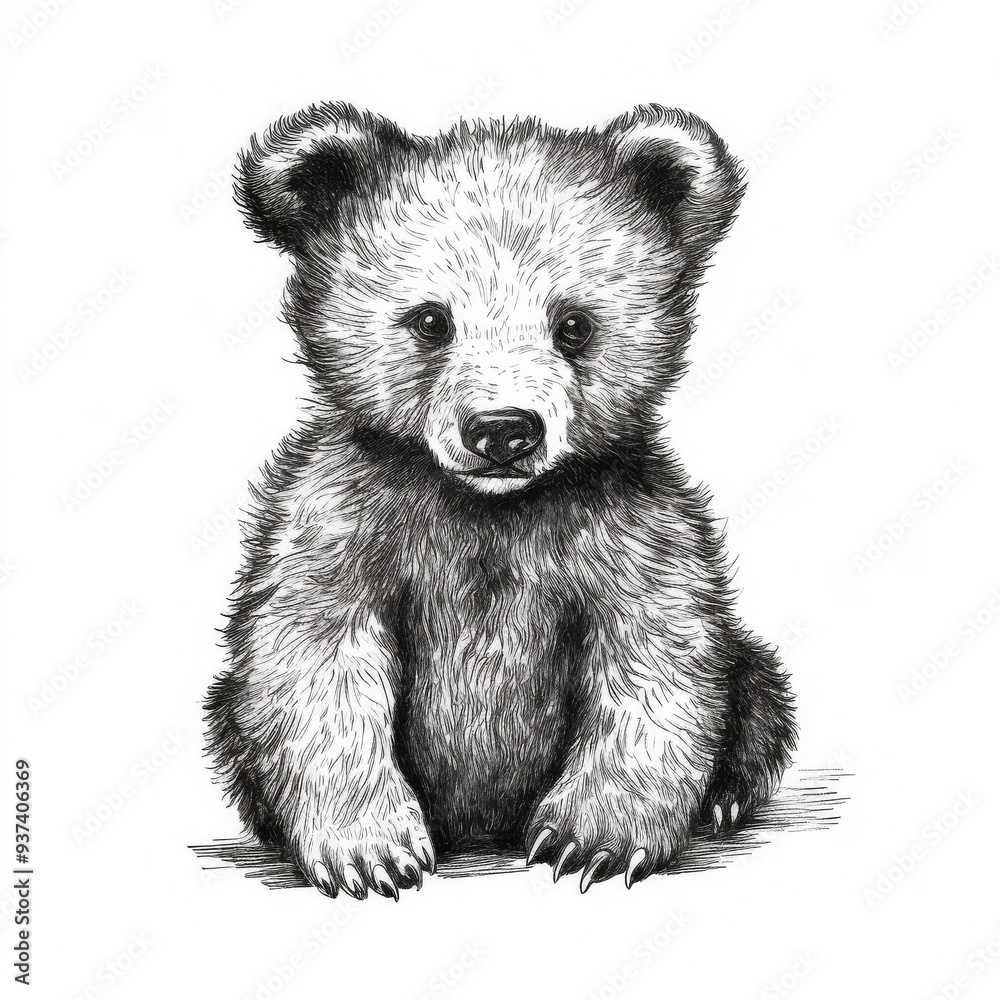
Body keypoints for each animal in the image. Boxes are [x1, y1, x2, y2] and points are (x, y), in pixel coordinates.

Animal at [205, 101, 796, 900]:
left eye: (574, 323)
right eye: (430, 319)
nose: (503, 429)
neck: (491, 509)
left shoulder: (631, 533)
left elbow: (655, 664)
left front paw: (592, 840)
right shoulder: (339, 523)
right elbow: (313, 660)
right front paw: (371, 848)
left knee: (758, 688)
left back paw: (727, 795)